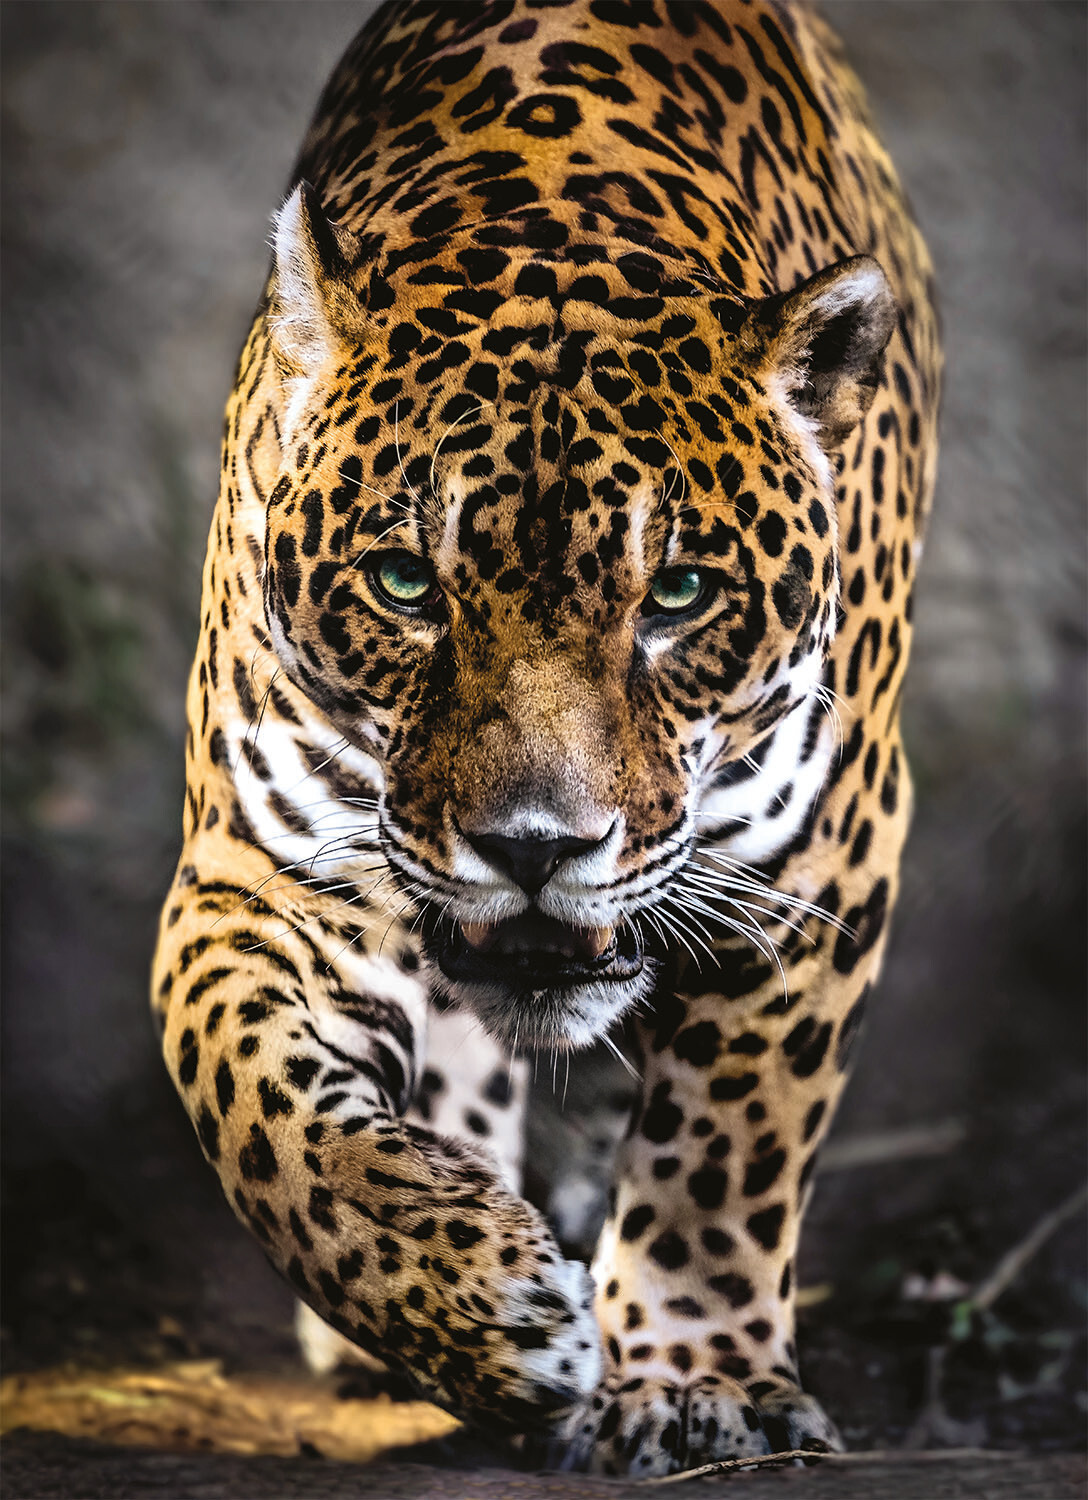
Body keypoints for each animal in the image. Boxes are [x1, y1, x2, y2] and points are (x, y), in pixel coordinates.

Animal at [152, 0, 940, 1476]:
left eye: (677, 595)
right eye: (406, 583)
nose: (533, 848)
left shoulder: (815, 862)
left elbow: (726, 1146)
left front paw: (695, 1382)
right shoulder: (257, 870)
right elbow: (255, 1105)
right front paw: (471, 1303)